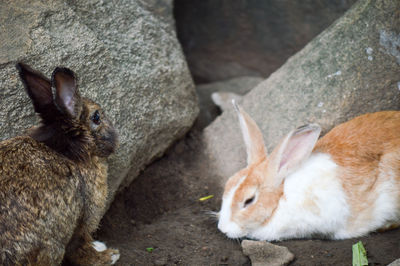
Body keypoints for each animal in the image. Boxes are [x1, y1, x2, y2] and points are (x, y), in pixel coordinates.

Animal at [0, 63, 119, 264]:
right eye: (96, 117)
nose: (116, 137)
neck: (69, 151)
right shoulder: (82, 220)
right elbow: (80, 248)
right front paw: (108, 255)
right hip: (51, 246)